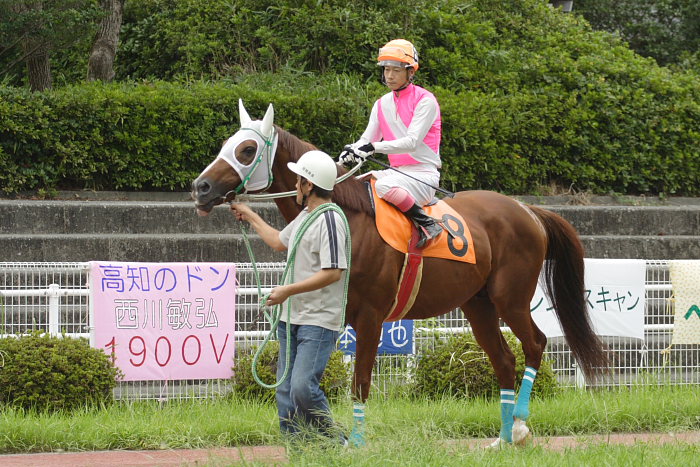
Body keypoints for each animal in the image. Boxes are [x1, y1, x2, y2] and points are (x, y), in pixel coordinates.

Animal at [190, 101, 608, 446]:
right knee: (504, 360)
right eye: (227, 144)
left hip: (511, 299)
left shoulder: (371, 315)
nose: (200, 187)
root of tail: (527, 210)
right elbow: (314, 380)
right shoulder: (339, 316)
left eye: (246, 150)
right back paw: (504, 437)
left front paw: (356, 443)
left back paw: (520, 425)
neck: (349, 216)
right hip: (478, 305)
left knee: (535, 344)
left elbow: (359, 383)